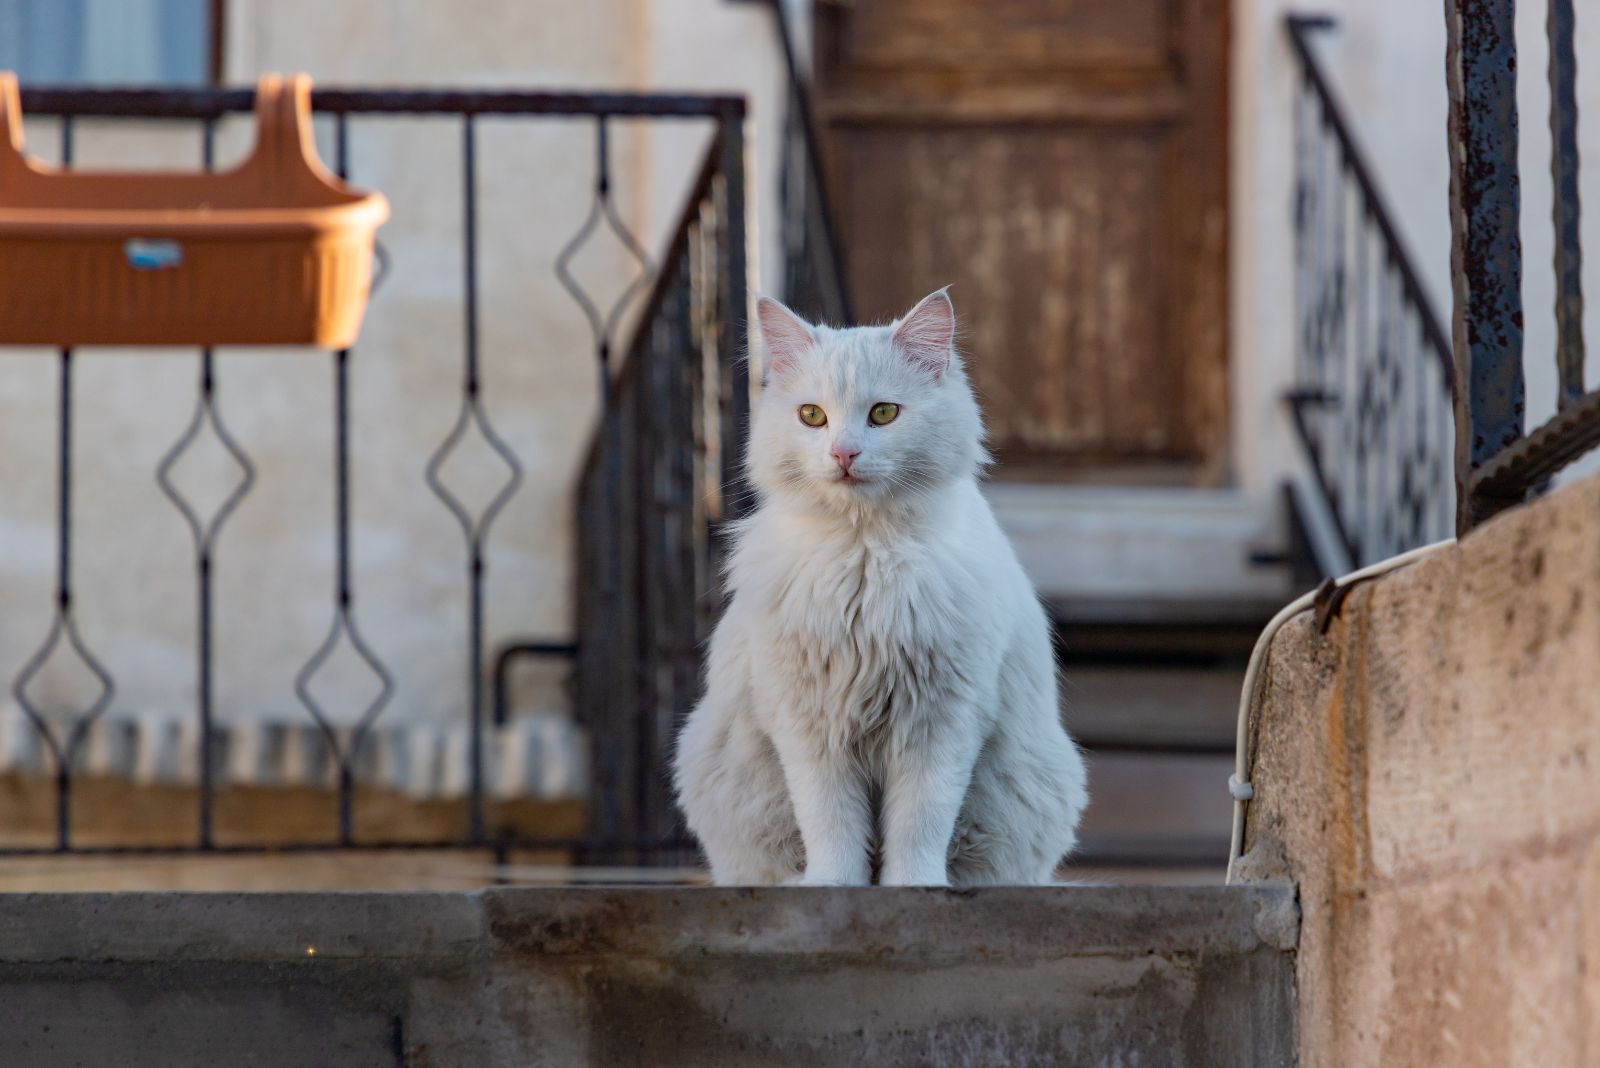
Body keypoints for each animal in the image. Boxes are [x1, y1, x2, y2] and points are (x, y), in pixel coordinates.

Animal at [675, 289, 1088, 882]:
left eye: (883, 414)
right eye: (812, 416)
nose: (844, 453)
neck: (863, 557)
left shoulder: (941, 721)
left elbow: (918, 826)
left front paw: (916, 887)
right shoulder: (808, 724)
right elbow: (831, 825)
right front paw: (833, 885)